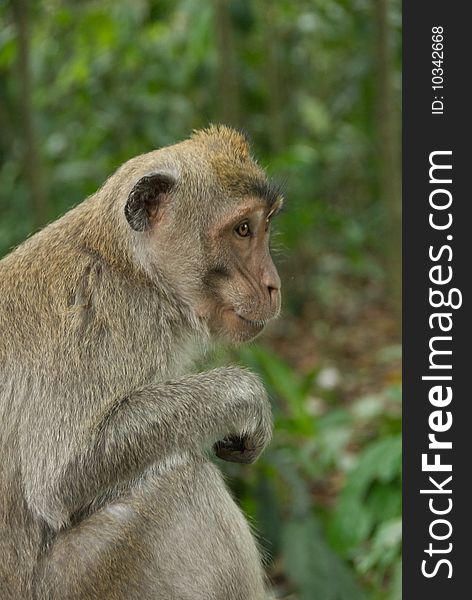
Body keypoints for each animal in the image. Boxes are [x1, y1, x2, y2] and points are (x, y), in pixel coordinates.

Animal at [0, 124, 284, 596]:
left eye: (264, 227)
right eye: (243, 229)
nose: (273, 284)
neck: (129, 267)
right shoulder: (102, 317)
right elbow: (59, 476)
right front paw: (243, 398)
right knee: (183, 487)